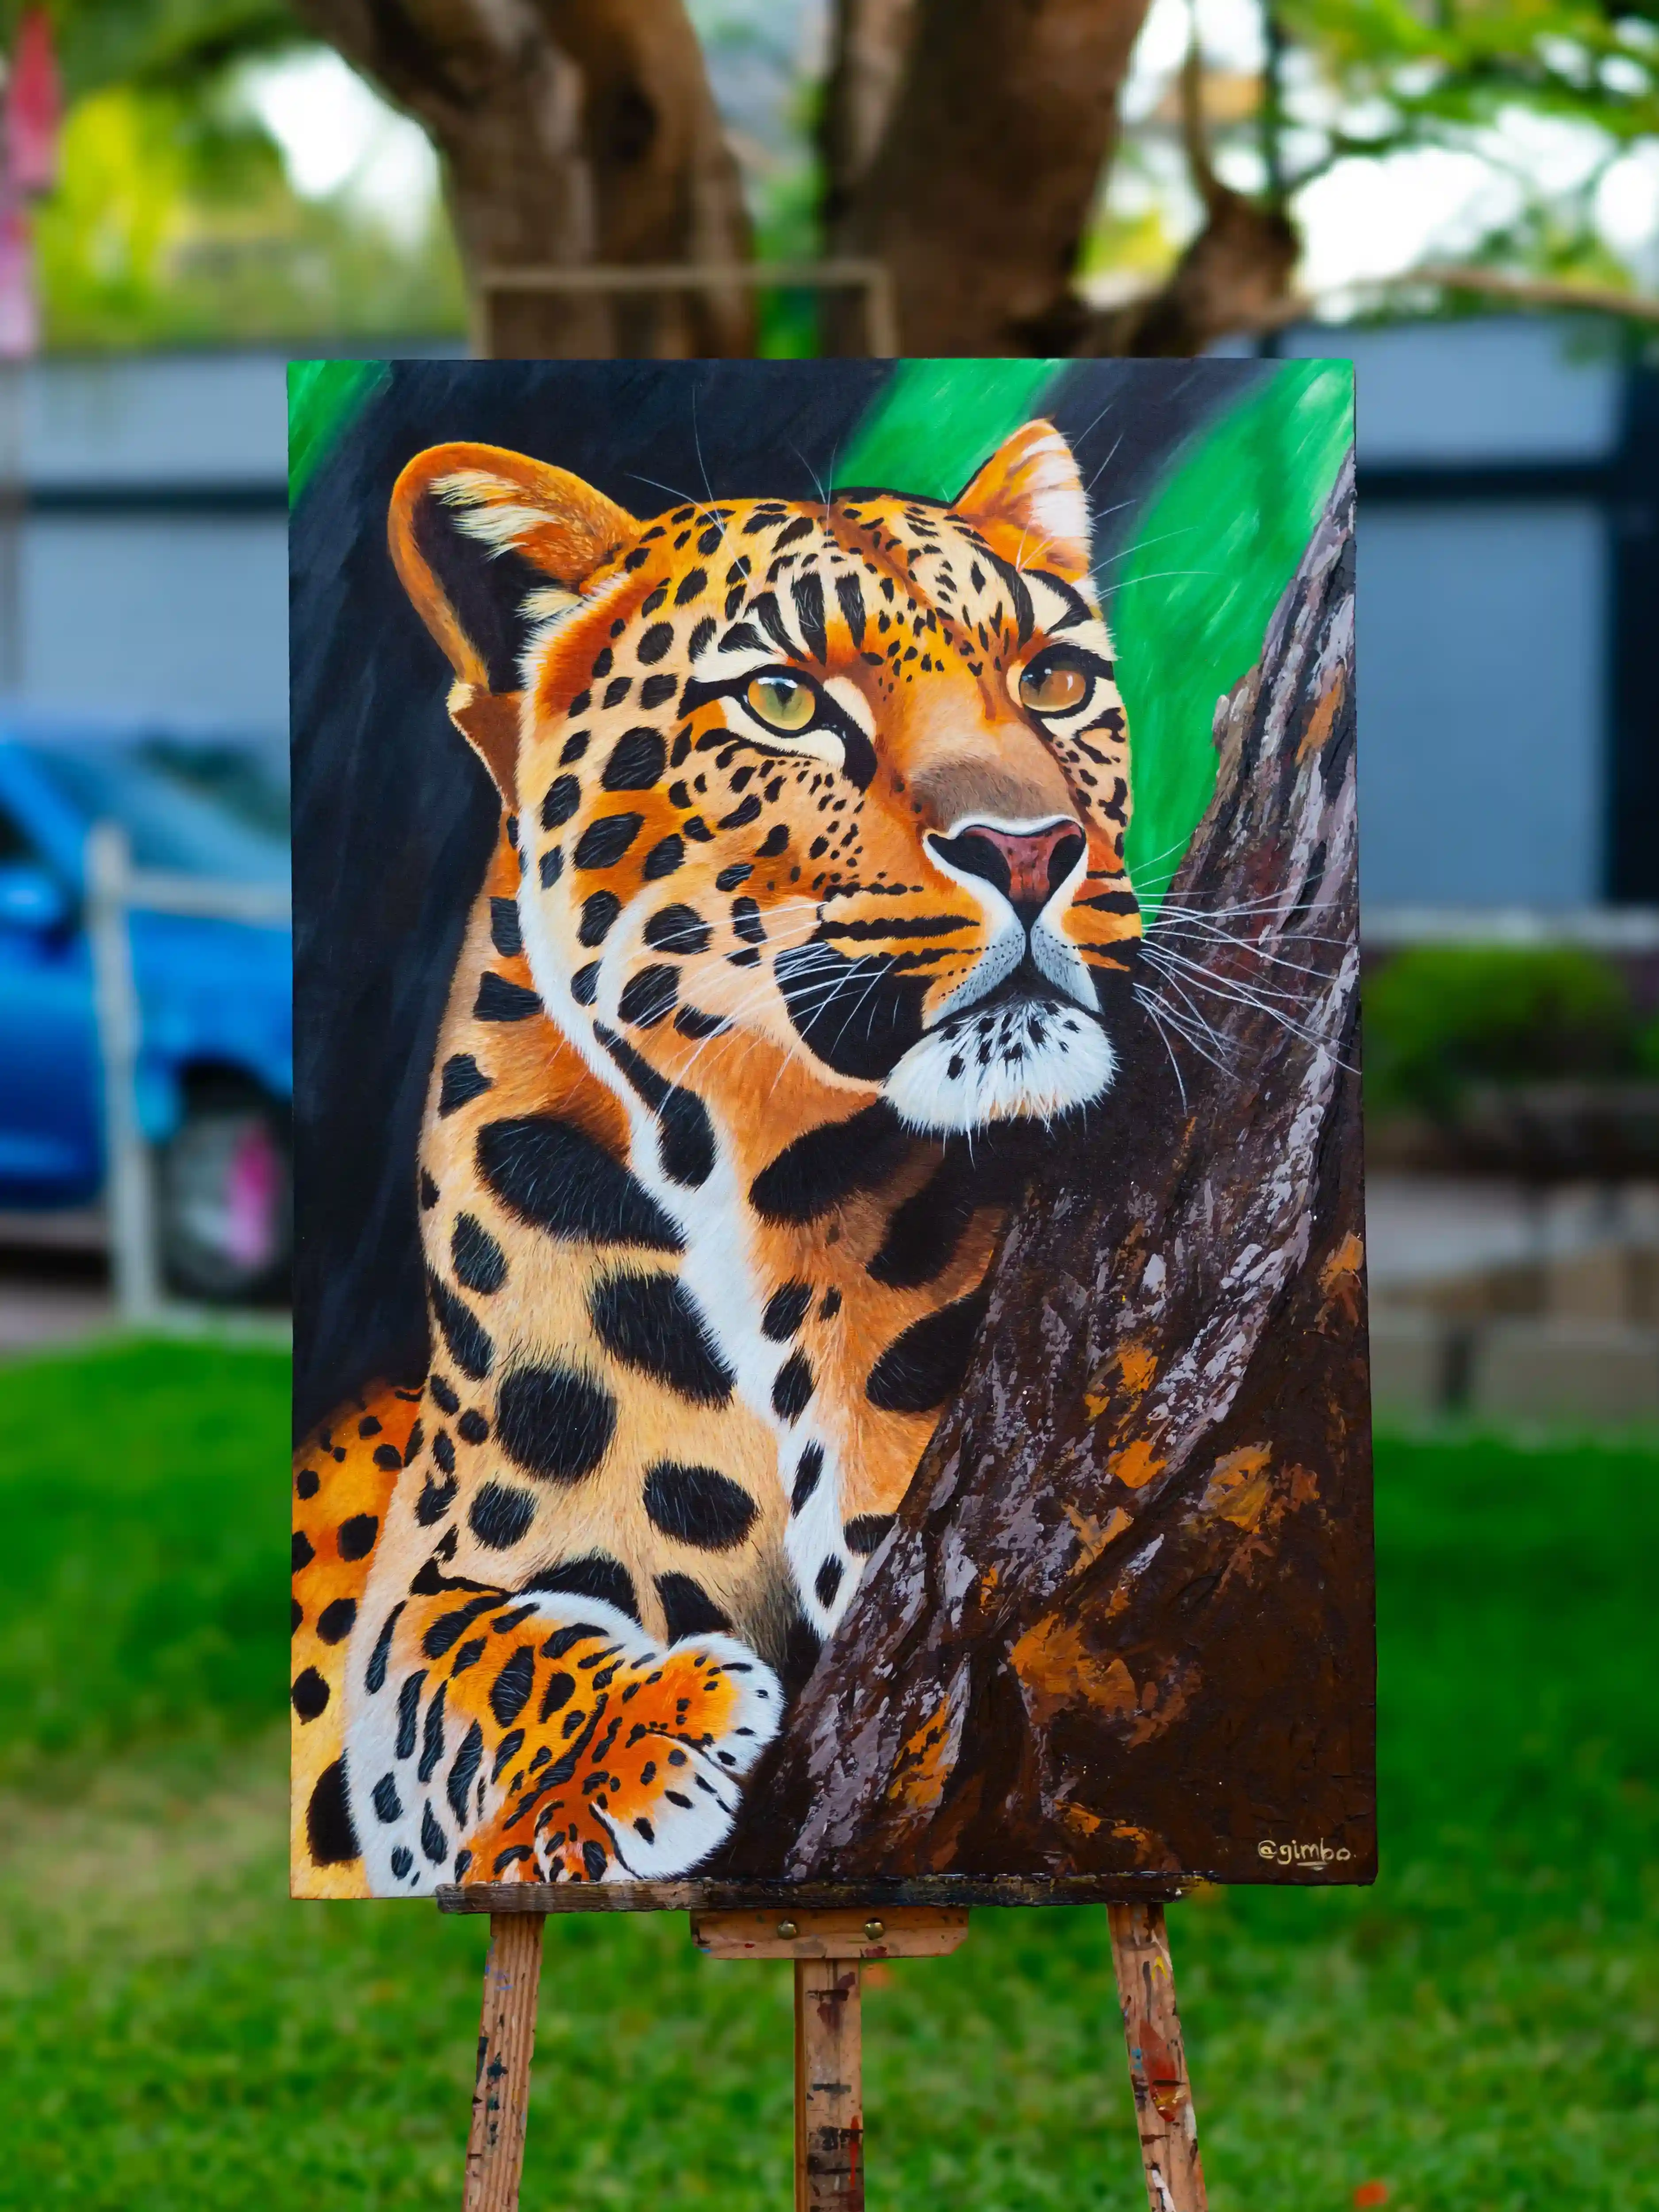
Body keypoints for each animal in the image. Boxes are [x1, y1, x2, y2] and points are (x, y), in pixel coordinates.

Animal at [291, 416, 1143, 1897]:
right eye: (786, 705)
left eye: (1053, 678)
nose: (1033, 852)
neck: (725, 1175)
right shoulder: (433, 1575)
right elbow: (454, 1655)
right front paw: (636, 1741)